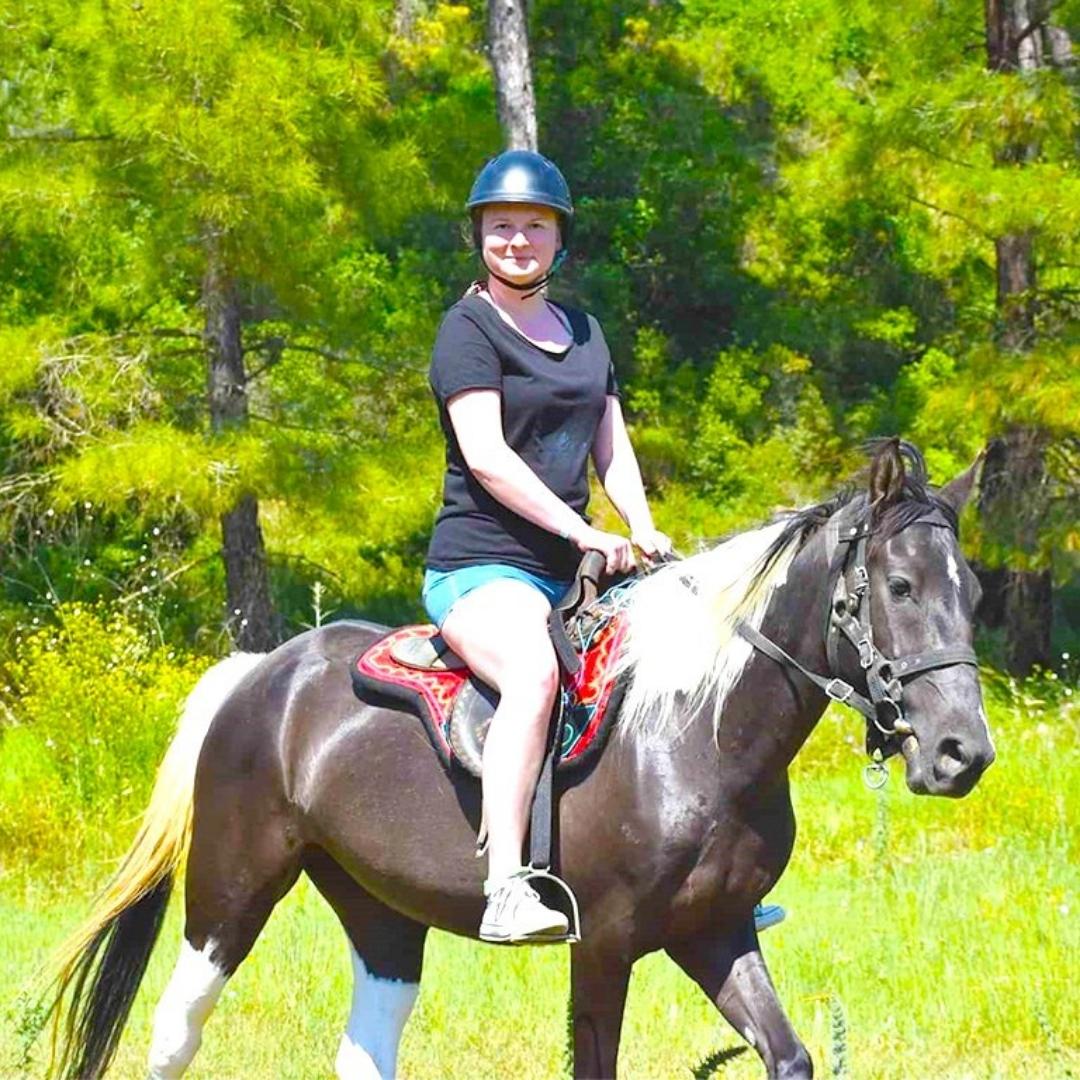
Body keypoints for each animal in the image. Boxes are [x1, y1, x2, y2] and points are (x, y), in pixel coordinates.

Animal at [48, 438, 993, 1080]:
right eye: (900, 587)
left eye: (973, 591)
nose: (964, 754)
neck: (695, 733)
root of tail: (260, 674)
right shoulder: (604, 945)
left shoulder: (716, 931)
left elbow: (789, 1054)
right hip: (228, 892)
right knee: (175, 1031)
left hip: (379, 912)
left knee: (364, 1046)